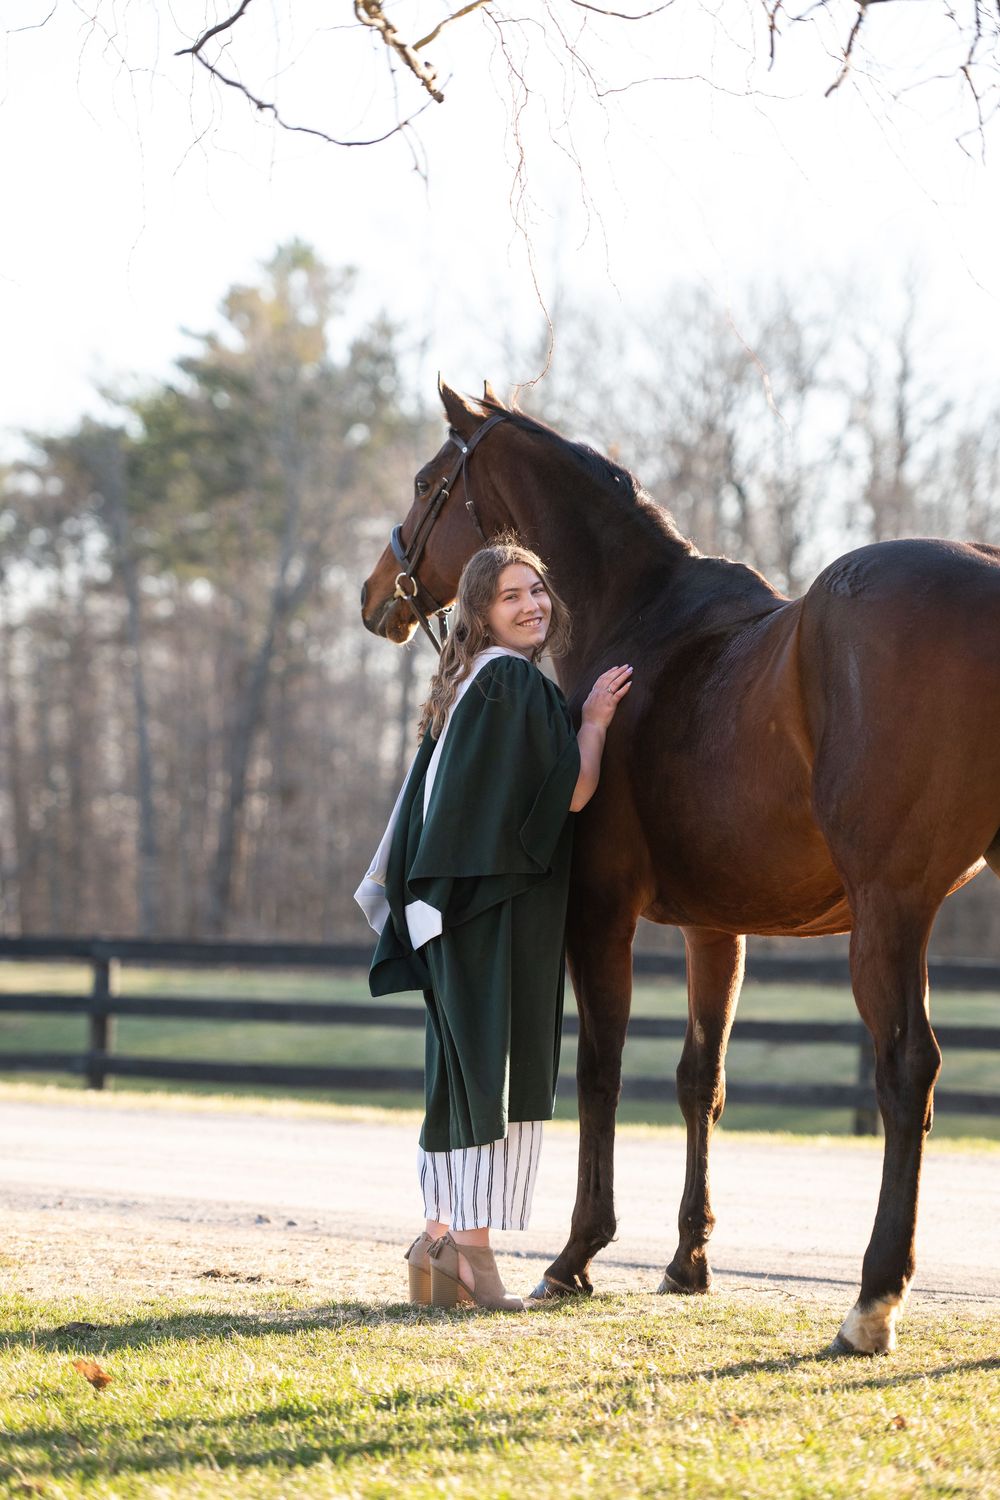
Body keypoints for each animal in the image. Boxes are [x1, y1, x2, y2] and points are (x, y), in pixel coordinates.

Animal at [359, 380, 1000, 1354]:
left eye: (430, 483)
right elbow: (702, 1077)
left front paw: (575, 1256)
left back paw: (872, 1298)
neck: (642, 618)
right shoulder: (715, 925)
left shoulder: (599, 913)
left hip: (891, 910)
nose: (374, 597)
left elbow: (600, 1070)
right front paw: (687, 1260)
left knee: (905, 1070)